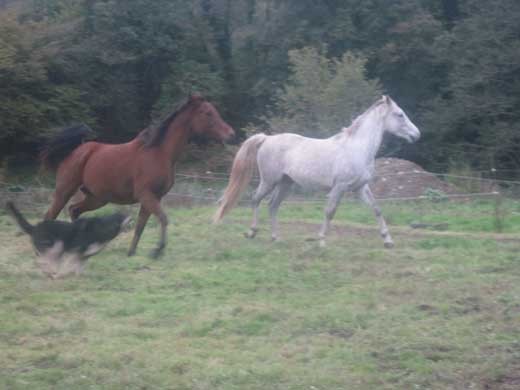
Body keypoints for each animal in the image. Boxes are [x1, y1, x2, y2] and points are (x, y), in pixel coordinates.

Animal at [41, 95, 235, 258]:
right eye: (207, 113)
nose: (231, 134)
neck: (159, 153)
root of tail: (76, 150)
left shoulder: (153, 198)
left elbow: (141, 226)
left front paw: (132, 252)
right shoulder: (146, 195)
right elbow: (163, 218)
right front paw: (157, 250)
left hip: (97, 198)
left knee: (74, 210)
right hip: (65, 190)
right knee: (50, 215)